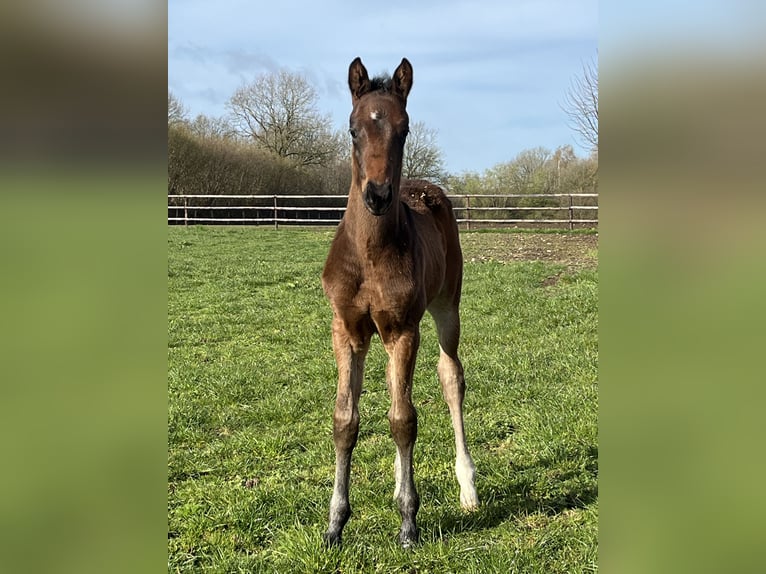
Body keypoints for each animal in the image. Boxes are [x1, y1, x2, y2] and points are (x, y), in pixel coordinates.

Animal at [321, 57, 478, 548]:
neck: (370, 255)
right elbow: (346, 420)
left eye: (404, 128)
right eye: (353, 128)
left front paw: (409, 521)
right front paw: (335, 523)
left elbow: (404, 420)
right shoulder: (348, 330)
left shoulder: (404, 329)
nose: (377, 195)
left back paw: (467, 487)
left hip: (447, 309)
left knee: (450, 378)